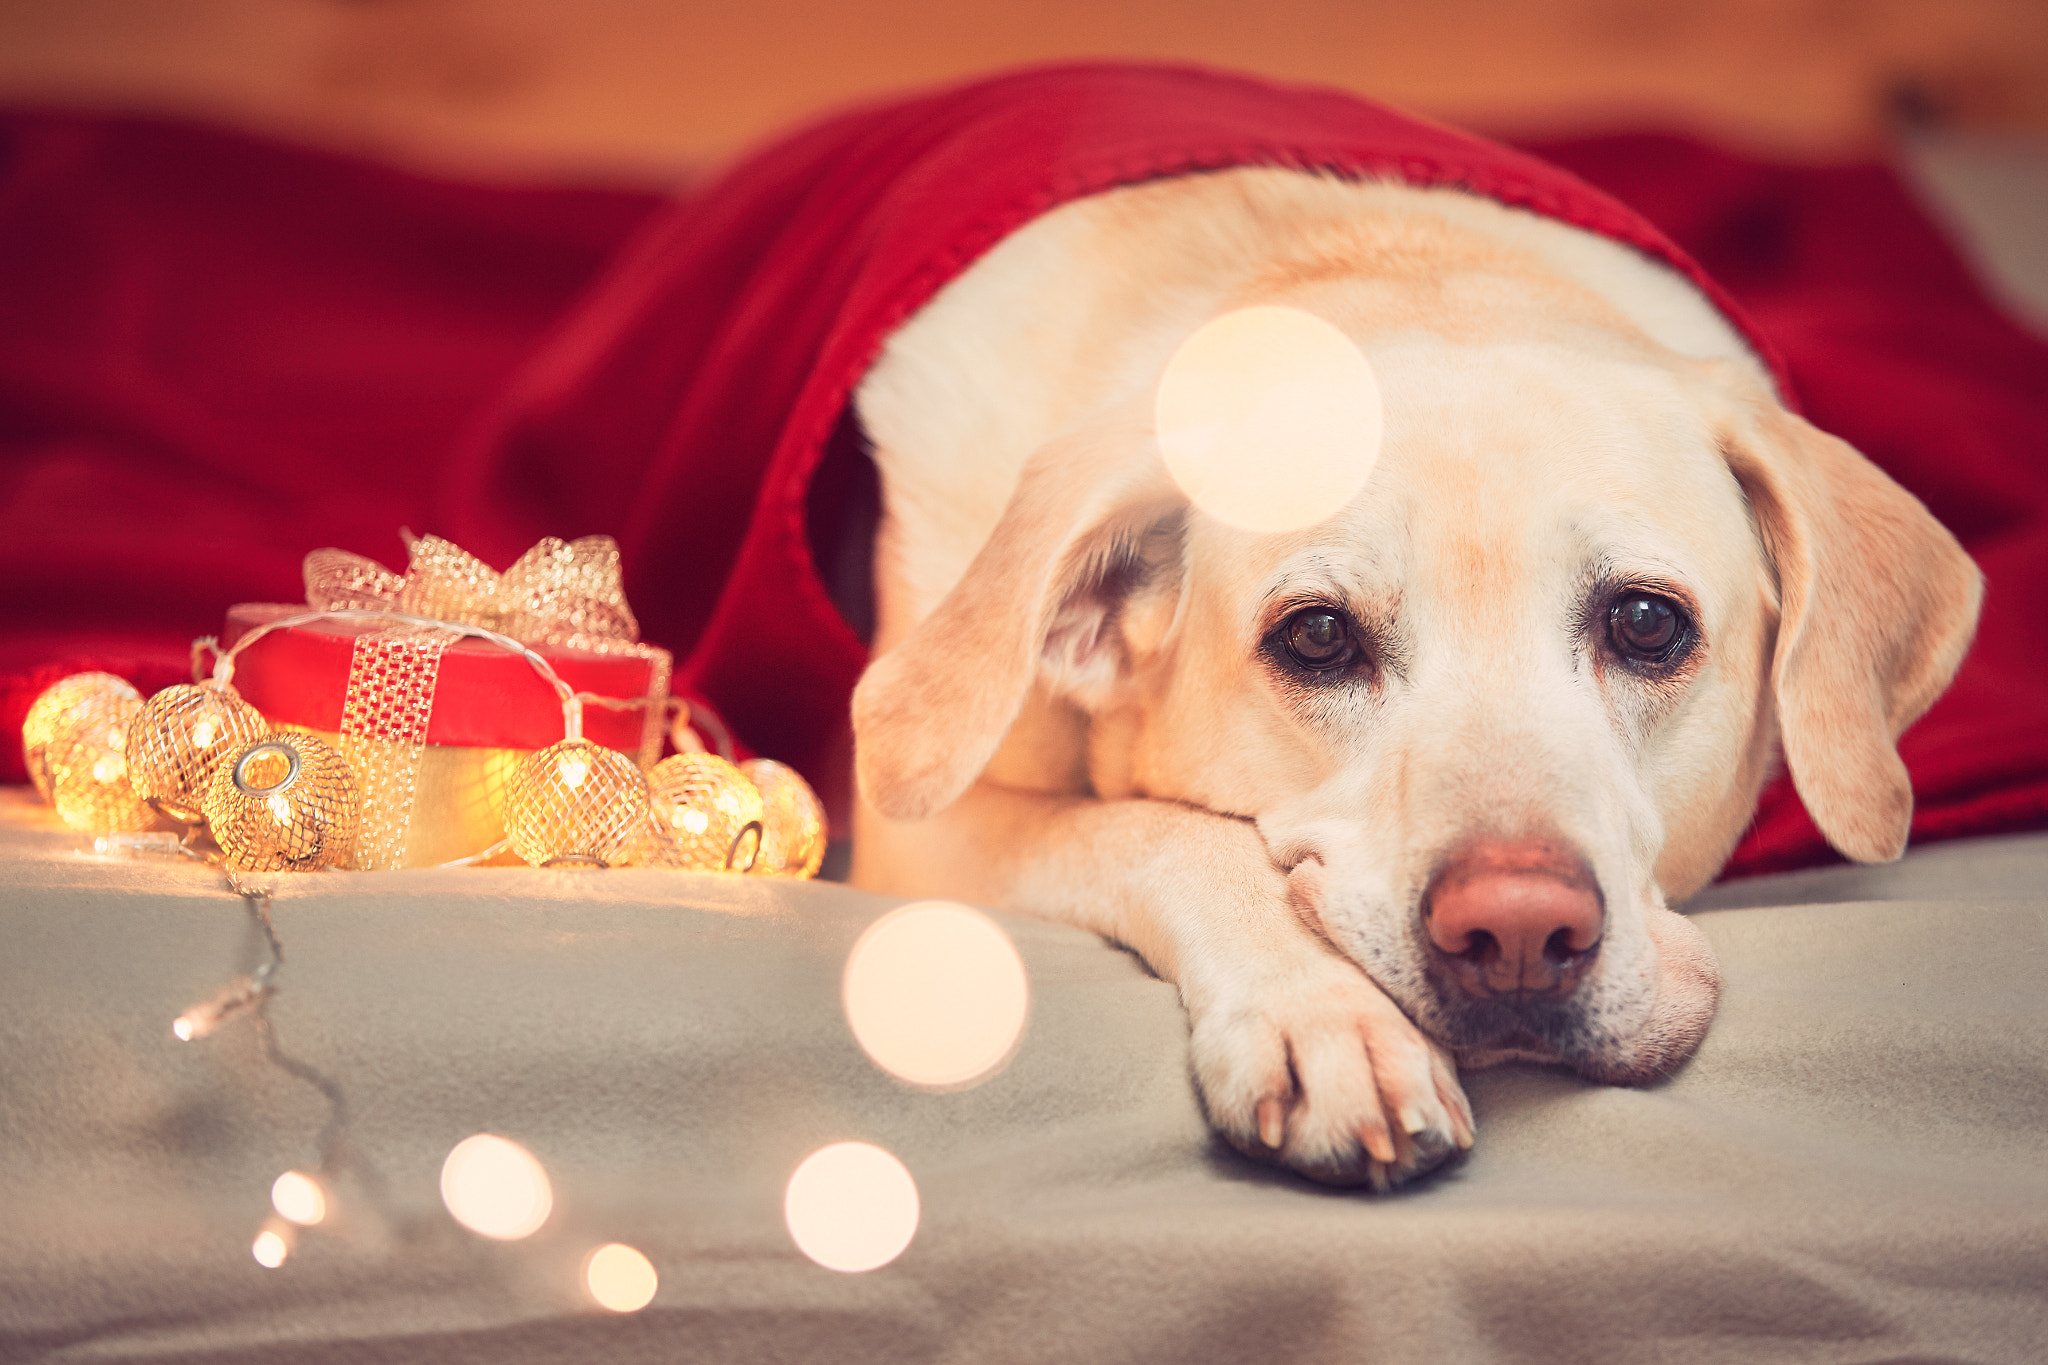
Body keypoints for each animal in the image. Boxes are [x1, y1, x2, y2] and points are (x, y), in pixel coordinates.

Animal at [839, 165, 1974, 1186]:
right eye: (1315, 638)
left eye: (1647, 623)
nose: (1517, 932)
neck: (1376, 251)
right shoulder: (915, 843)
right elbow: (1160, 833)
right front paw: (1325, 1016)